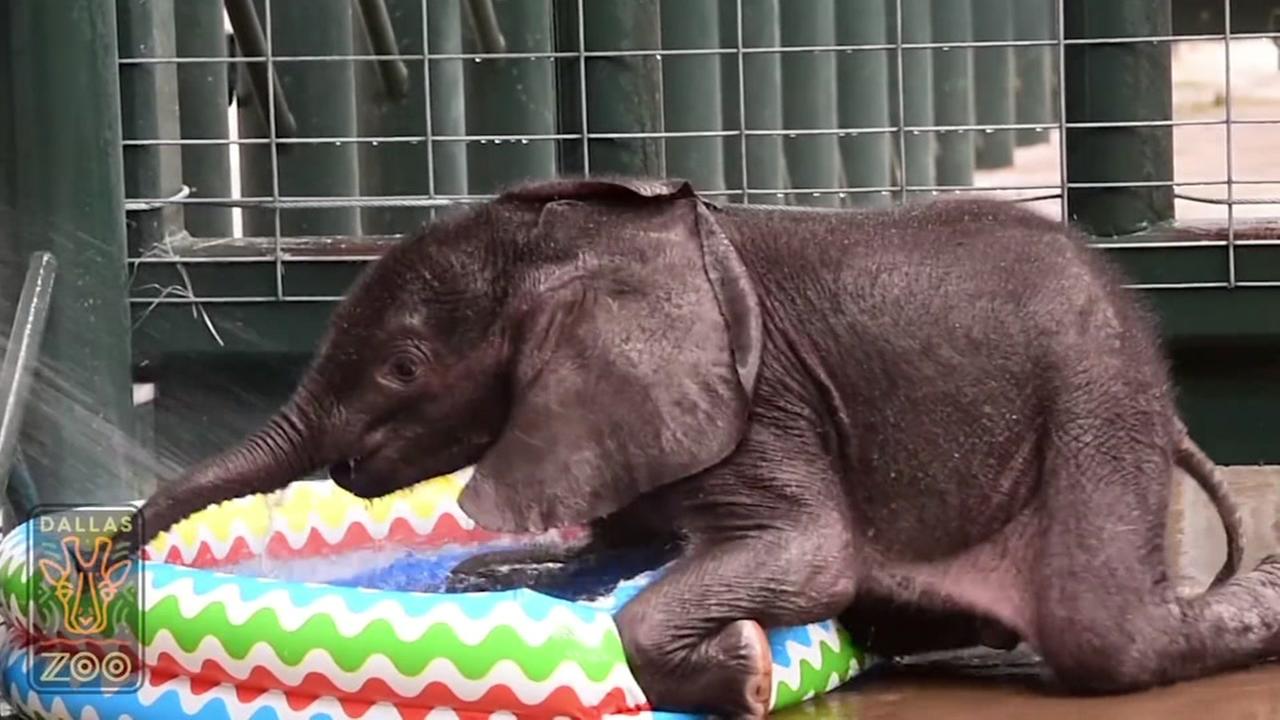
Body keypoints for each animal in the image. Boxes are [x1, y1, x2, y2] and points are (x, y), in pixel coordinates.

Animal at [128, 176, 1278, 718]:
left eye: (404, 368)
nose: (113, 552)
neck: (580, 243)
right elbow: (613, 546)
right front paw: (488, 577)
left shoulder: (761, 403)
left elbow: (808, 556)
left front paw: (744, 673)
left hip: (1091, 400)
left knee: (1100, 633)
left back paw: (1259, 596)